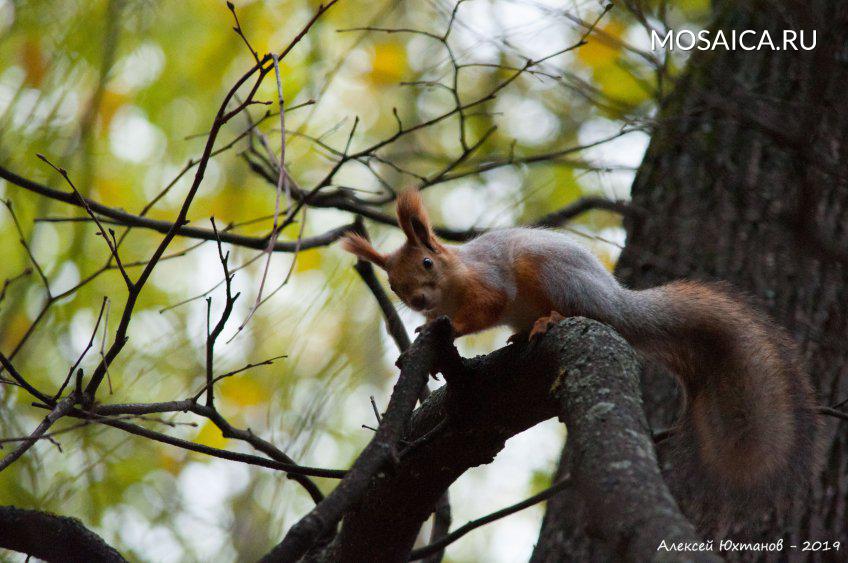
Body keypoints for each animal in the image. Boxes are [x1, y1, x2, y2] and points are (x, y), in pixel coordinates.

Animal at [342, 192, 820, 532]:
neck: (454, 281)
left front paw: (447, 329)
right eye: (394, 285)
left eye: (427, 262)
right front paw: (423, 340)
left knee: (577, 310)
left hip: (552, 274)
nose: (418, 300)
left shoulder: (488, 282)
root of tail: (615, 300)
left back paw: (548, 320)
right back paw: (521, 333)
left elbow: (483, 308)